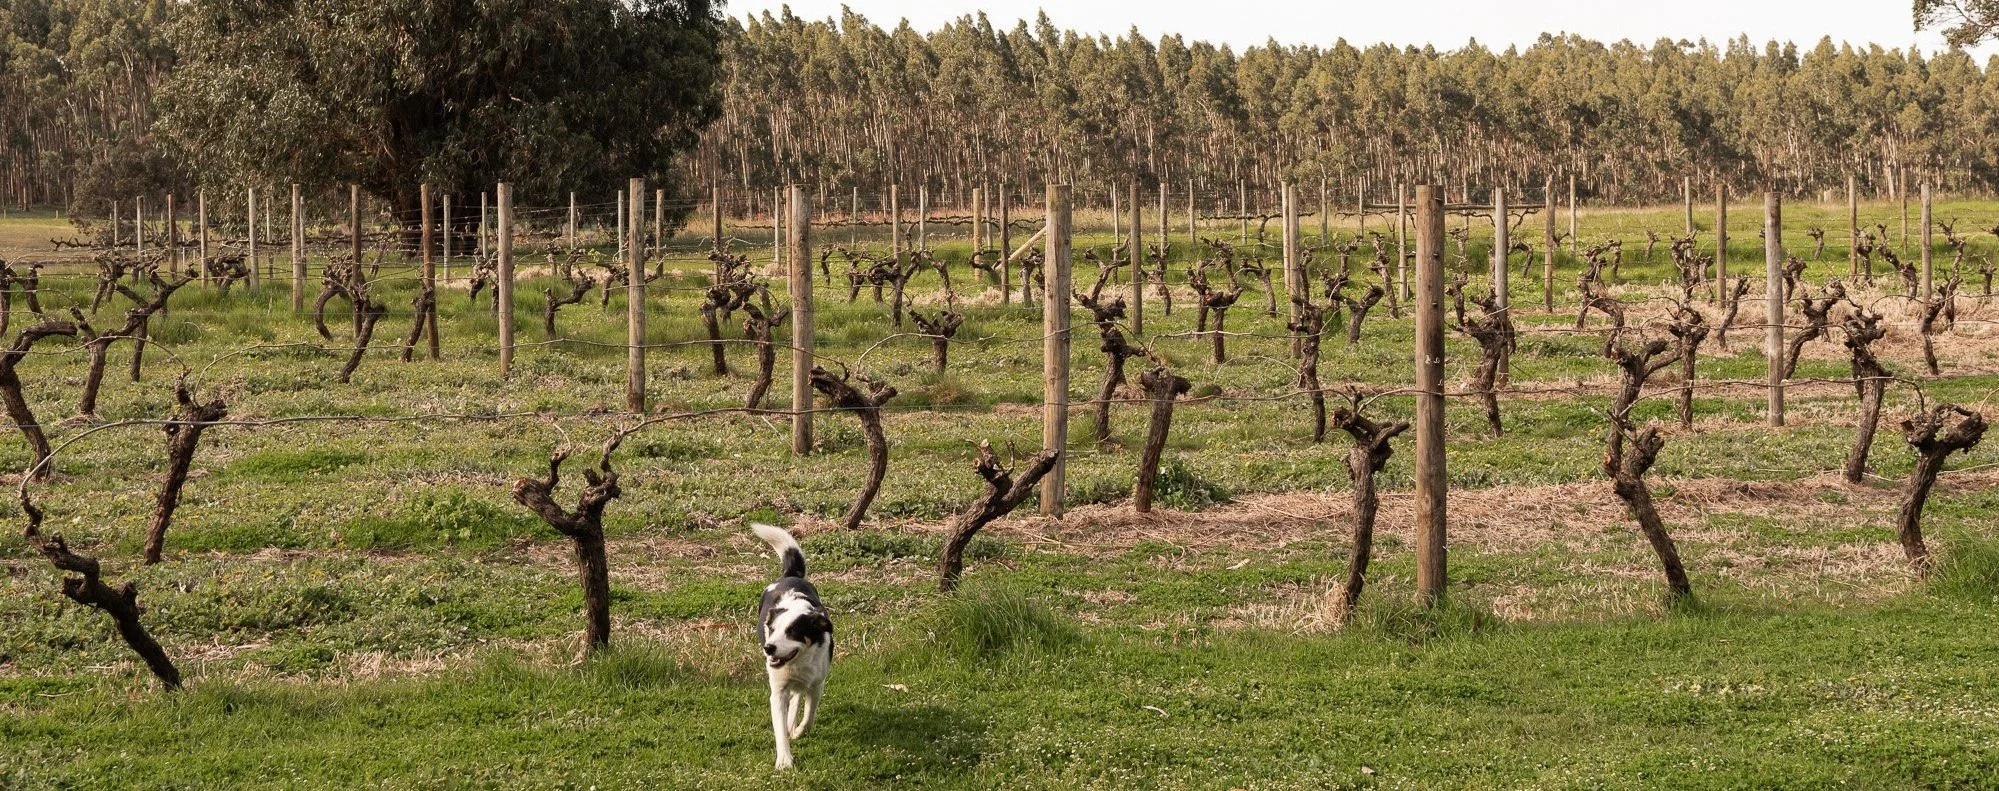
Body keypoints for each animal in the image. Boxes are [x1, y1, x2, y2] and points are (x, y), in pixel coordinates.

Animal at [752, 523, 833, 771]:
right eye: (771, 629)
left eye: (792, 632)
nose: (769, 648)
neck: (798, 661)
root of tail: (790, 575)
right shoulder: (778, 691)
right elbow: (779, 729)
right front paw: (784, 760)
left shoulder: (817, 684)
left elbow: (809, 716)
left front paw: (798, 731)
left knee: (798, 696)